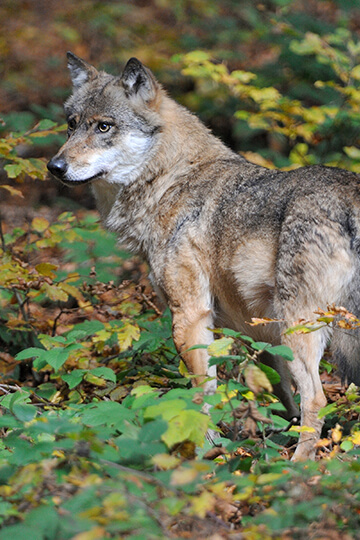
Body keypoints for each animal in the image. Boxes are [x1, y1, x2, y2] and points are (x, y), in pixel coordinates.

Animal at [47, 52, 360, 460]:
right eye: (71, 125)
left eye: (103, 126)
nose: (54, 167)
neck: (169, 180)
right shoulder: (257, 332)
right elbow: (278, 392)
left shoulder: (190, 316)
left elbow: (202, 394)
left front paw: (204, 452)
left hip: (301, 327)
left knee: (318, 399)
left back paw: (297, 466)